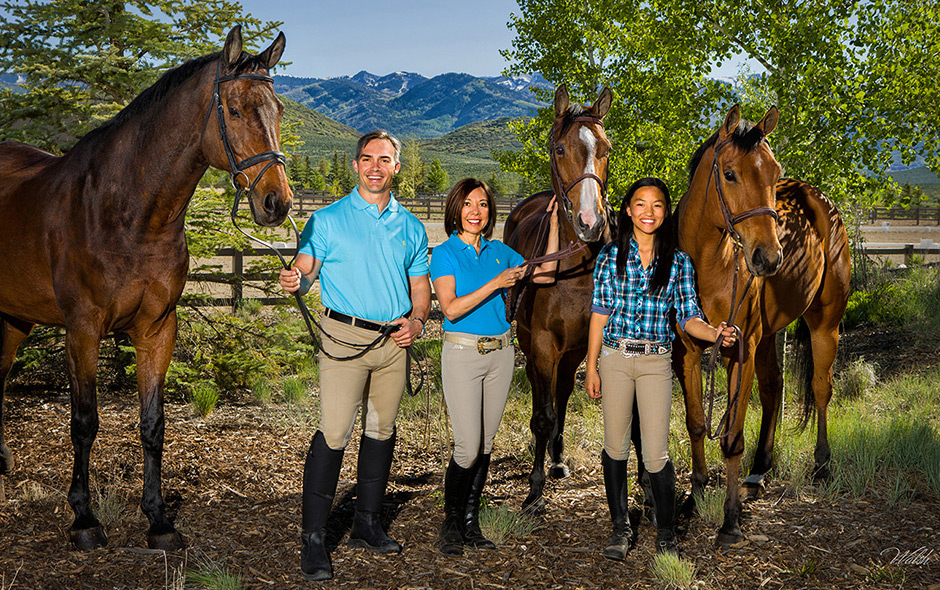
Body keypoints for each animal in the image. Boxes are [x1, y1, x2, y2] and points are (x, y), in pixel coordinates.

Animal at [0, 25, 292, 552]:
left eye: (277, 109)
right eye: (234, 110)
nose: (275, 202)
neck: (128, 213)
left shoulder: (156, 330)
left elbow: (153, 424)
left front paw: (158, 519)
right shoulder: (82, 330)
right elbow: (84, 423)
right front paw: (84, 519)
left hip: (15, 318)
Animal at [506, 85, 616, 512]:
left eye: (605, 148)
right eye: (559, 148)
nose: (591, 222)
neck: (572, 269)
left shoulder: (580, 345)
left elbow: (564, 400)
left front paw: (555, 458)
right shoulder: (541, 343)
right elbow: (542, 414)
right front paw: (534, 489)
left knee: (560, 395)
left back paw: (555, 454)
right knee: (541, 395)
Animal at [672, 104, 856, 548]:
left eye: (773, 173)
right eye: (730, 174)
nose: (768, 257)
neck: (709, 265)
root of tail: (815, 197)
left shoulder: (741, 349)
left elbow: (732, 437)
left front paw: (730, 520)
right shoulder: (688, 351)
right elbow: (697, 424)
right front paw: (694, 496)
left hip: (824, 325)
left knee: (821, 388)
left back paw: (822, 465)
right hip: (769, 336)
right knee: (774, 389)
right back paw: (759, 470)